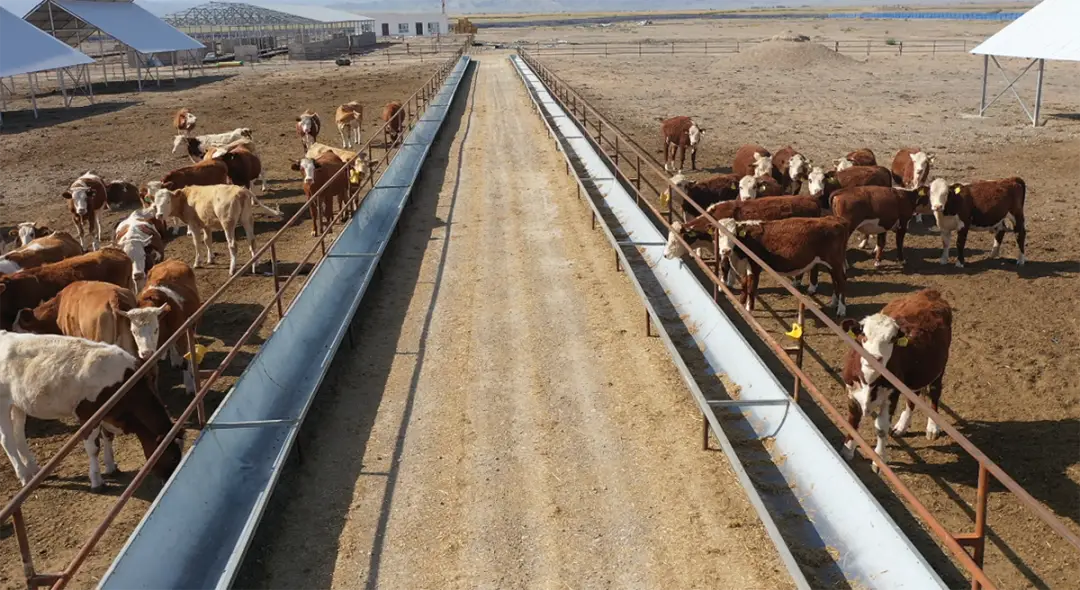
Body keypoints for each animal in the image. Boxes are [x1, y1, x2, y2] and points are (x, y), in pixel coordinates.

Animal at [0, 330, 181, 486]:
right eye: (173, 457)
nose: (169, 480)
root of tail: (5, 334)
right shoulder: (88, 415)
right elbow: (93, 448)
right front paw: (96, 480)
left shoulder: (108, 414)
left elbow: (108, 437)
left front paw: (111, 466)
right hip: (3, 403)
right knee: (7, 440)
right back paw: (24, 476)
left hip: (18, 404)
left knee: (19, 435)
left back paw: (34, 470)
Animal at [150, 184, 282, 274]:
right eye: (155, 203)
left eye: (168, 201)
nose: (159, 215)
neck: (186, 198)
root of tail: (241, 190)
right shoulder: (206, 225)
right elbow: (208, 241)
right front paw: (211, 259)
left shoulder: (193, 225)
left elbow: (197, 243)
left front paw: (197, 262)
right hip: (247, 219)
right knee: (252, 241)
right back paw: (255, 265)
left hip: (228, 223)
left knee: (233, 245)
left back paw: (232, 269)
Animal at [717, 216, 851, 315]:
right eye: (719, 234)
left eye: (733, 233)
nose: (726, 251)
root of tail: (835, 220)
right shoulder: (744, 266)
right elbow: (744, 284)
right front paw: (741, 302)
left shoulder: (755, 266)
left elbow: (751, 287)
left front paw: (749, 309)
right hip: (831, 264)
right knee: (835, 280)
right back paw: (833, 303)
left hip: (835, 262)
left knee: (842, 281)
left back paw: (841, 309)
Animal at [838, 287, 950, 471]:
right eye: (863, 335)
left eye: (892, 339)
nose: (875, 357)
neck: (869, 380)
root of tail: (929, 292)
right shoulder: (851, 392)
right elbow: (853, 421)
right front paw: (847, 450)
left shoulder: (892, 395)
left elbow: (881, 428)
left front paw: (879, 460)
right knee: (913, 398)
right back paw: (902, 426)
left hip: (938, 370)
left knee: (934, 394)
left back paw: (933, 427)